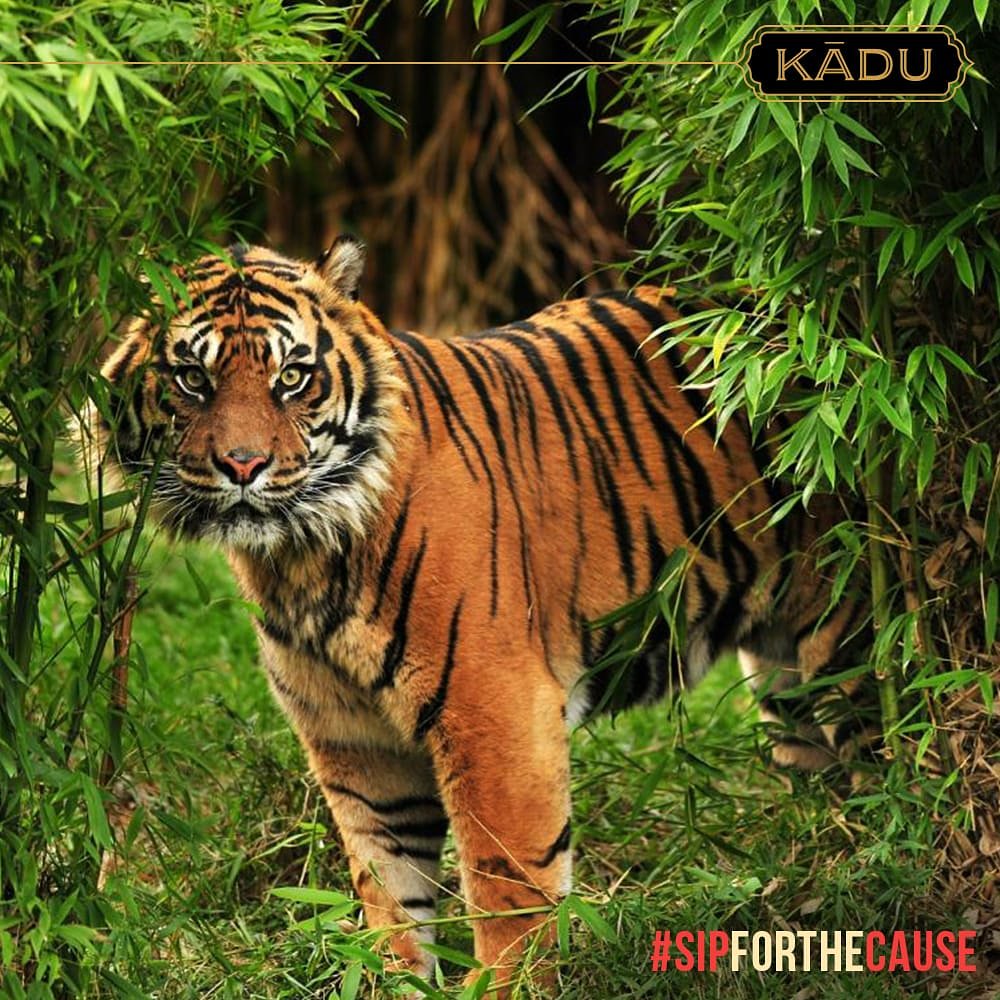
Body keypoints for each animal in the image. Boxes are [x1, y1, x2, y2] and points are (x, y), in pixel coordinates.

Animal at [87, 237, 873, 993]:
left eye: (292, 378)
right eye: (193, 379)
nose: (243, 466)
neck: (299, 555)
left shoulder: (496, 712)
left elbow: (509, 893)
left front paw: (507, 984)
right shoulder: (355, 742)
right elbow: (390, 896)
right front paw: (393, 983)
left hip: (852, 631)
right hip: (786, 677)